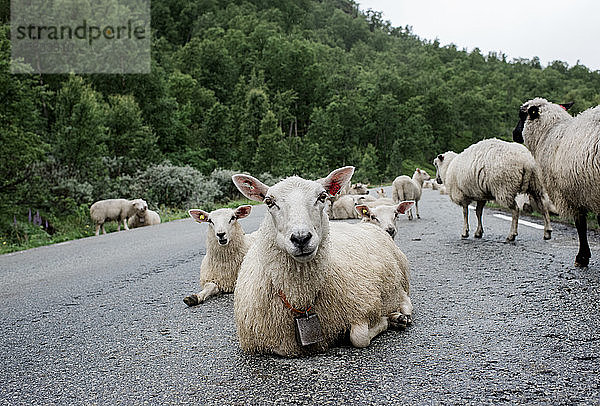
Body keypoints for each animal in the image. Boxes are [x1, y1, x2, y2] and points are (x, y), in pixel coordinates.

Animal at [230, 167, 412, 356]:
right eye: (269, 202)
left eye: (322, 196)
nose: (301, 238)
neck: (301, 300)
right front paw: (389, 319)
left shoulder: (366, 304)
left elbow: (359, 337)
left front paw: (386, 319)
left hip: (401, 282)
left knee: (405, 301)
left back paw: (400, 315)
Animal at [512, 97, 596, 266]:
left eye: (522, 115)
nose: (514, 134)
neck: (551, 133)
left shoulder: (572, 194)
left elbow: (581, 225)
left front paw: (582, 257)